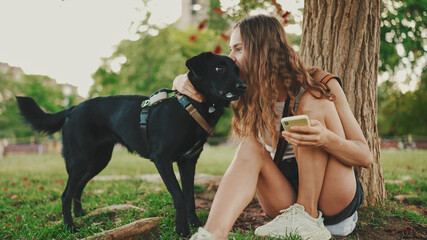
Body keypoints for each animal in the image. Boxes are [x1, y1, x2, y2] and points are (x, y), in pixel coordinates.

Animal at [15, 52, 247, 236]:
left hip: (98, 161)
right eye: (219, 68)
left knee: (78, 188)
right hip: (81, 160)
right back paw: (70, 226)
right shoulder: (162, 159)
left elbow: (190, 197)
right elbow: (179, 196)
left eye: (237, 70)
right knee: (65, 194)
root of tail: (72, 108)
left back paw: (80, 214)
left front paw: (196, 225)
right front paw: (181, 229)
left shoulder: (188, 162)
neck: (193, 105)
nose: (243, 86)